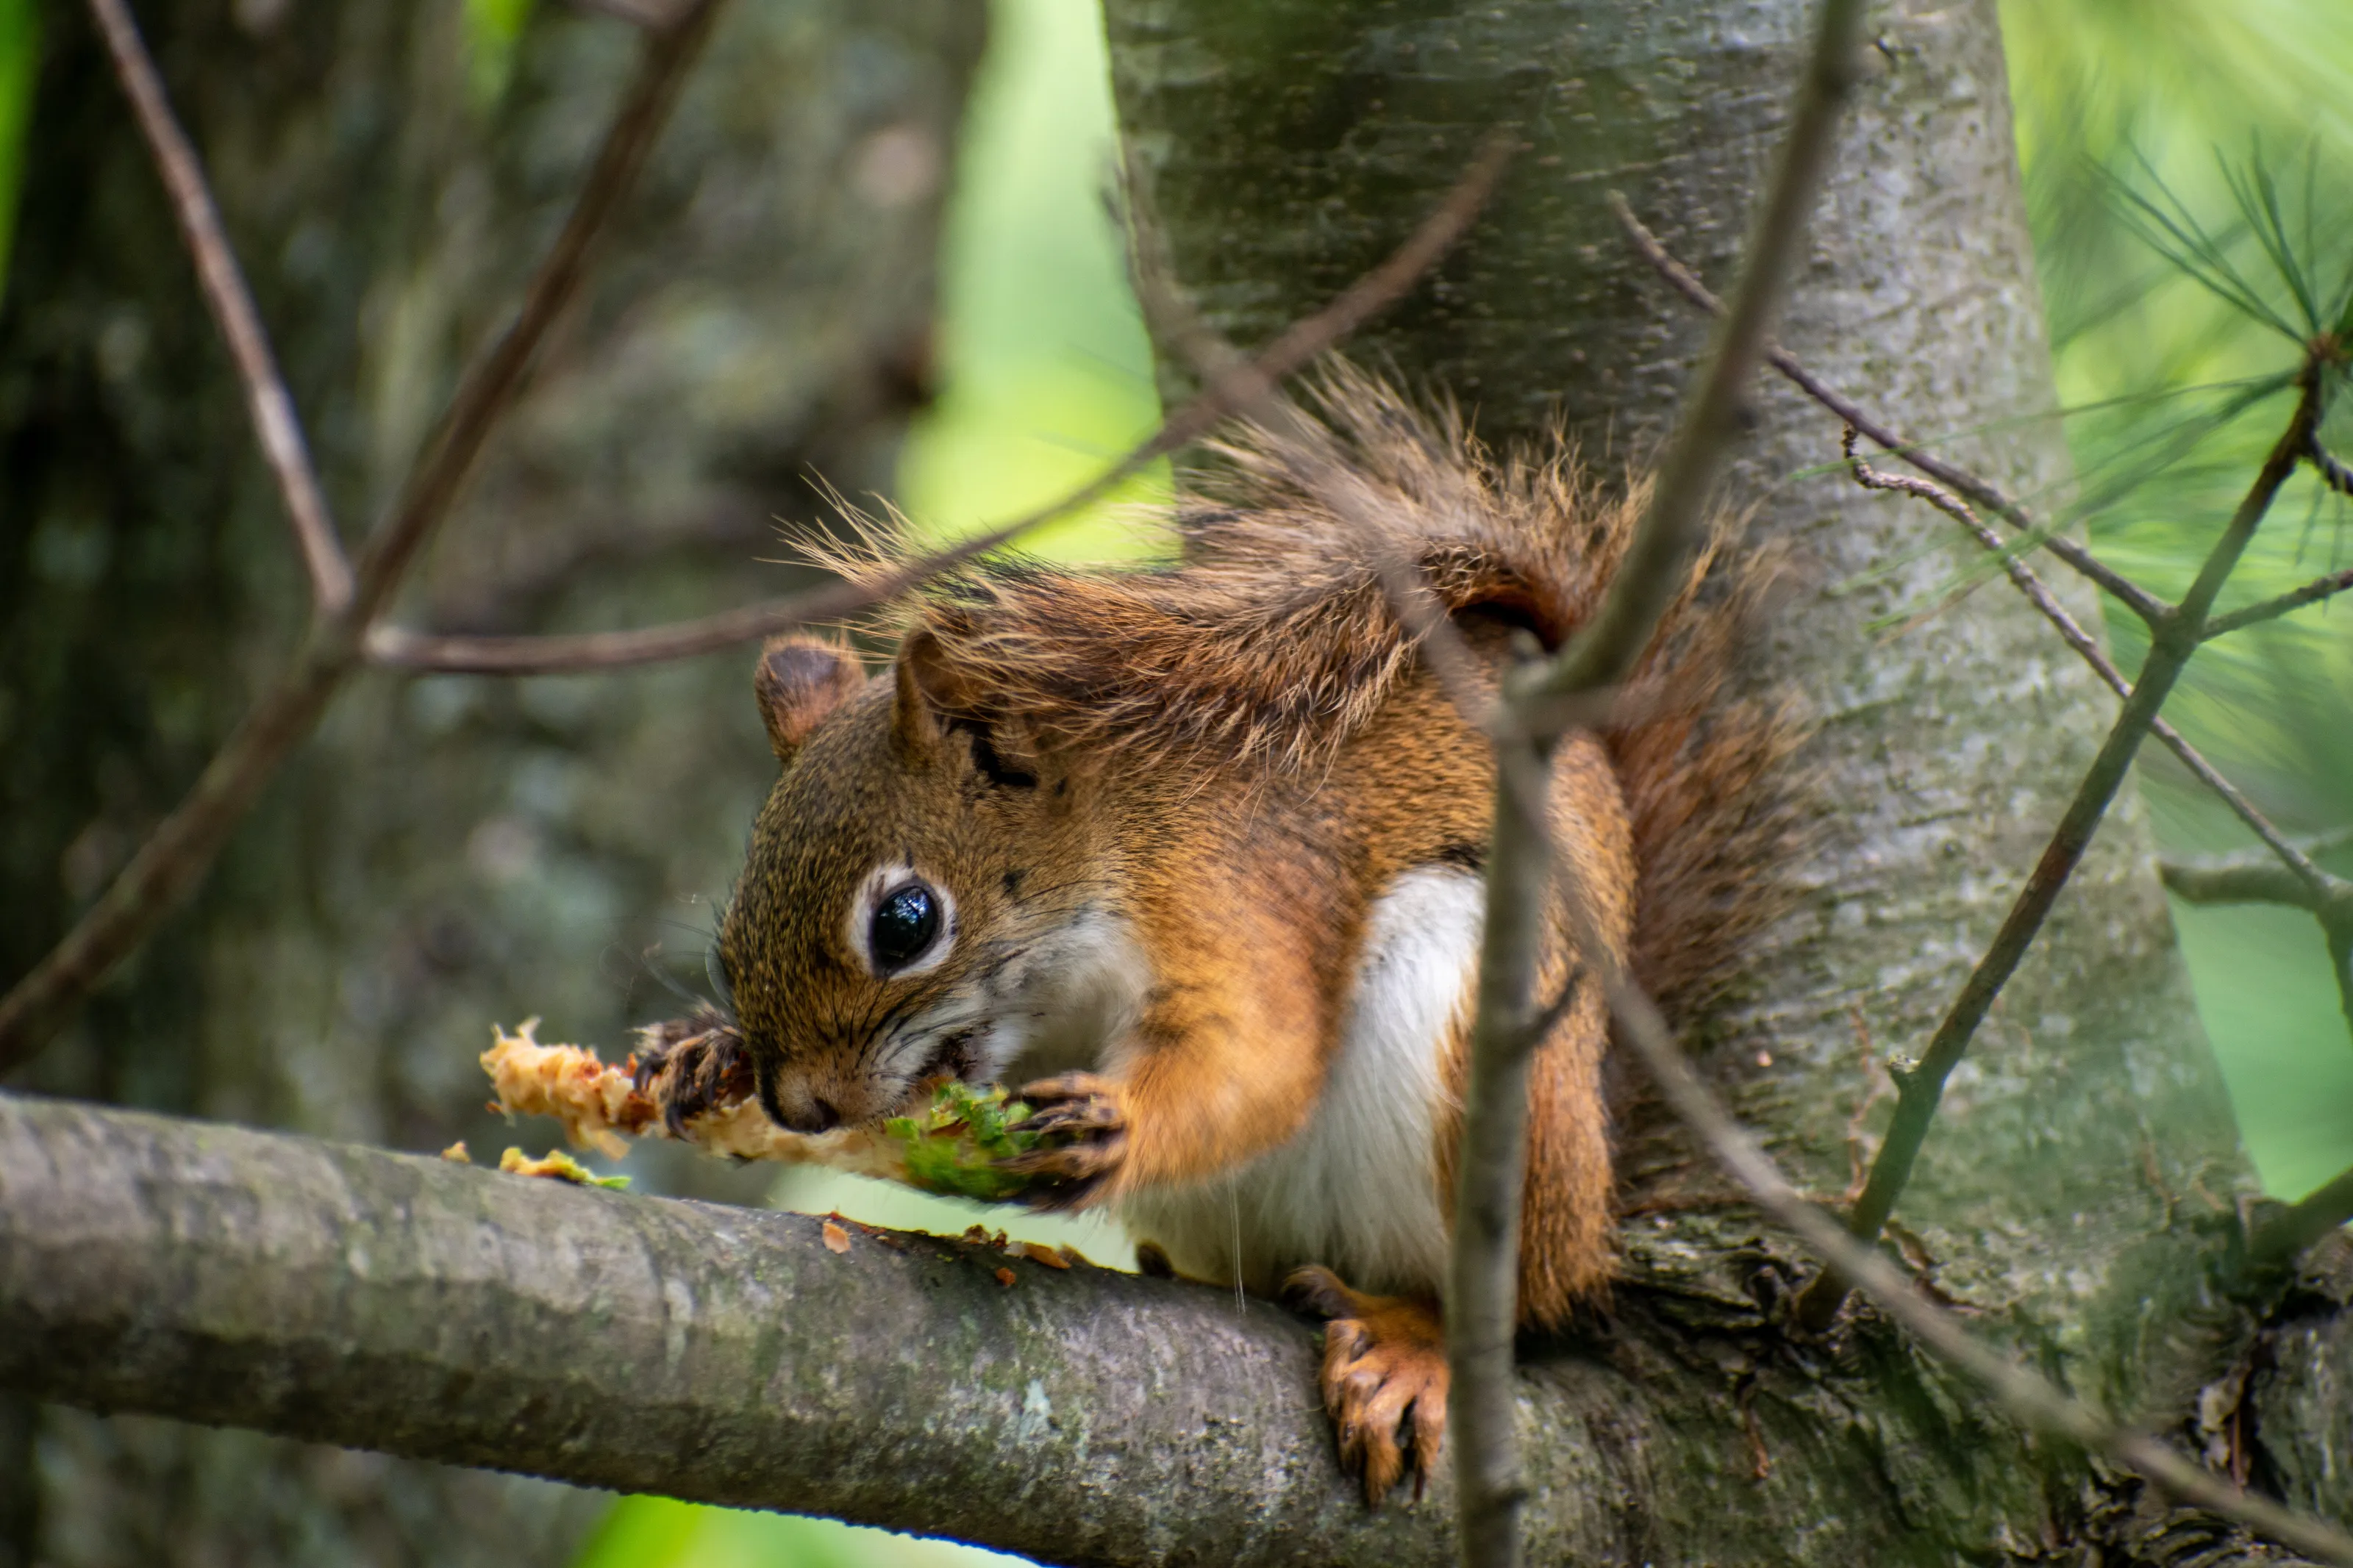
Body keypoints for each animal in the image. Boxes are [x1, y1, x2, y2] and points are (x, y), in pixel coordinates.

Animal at [708, 365, 1794, 1504]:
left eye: (906, 922)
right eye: (726, 944)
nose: (801, 1106)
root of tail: (1592, 1214)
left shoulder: (1230, 890)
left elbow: (1262, 1054)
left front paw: (1119, 1127)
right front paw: (701, 1057)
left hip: (1480, 1056)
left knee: (1506, 1311)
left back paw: (1412, 1343)